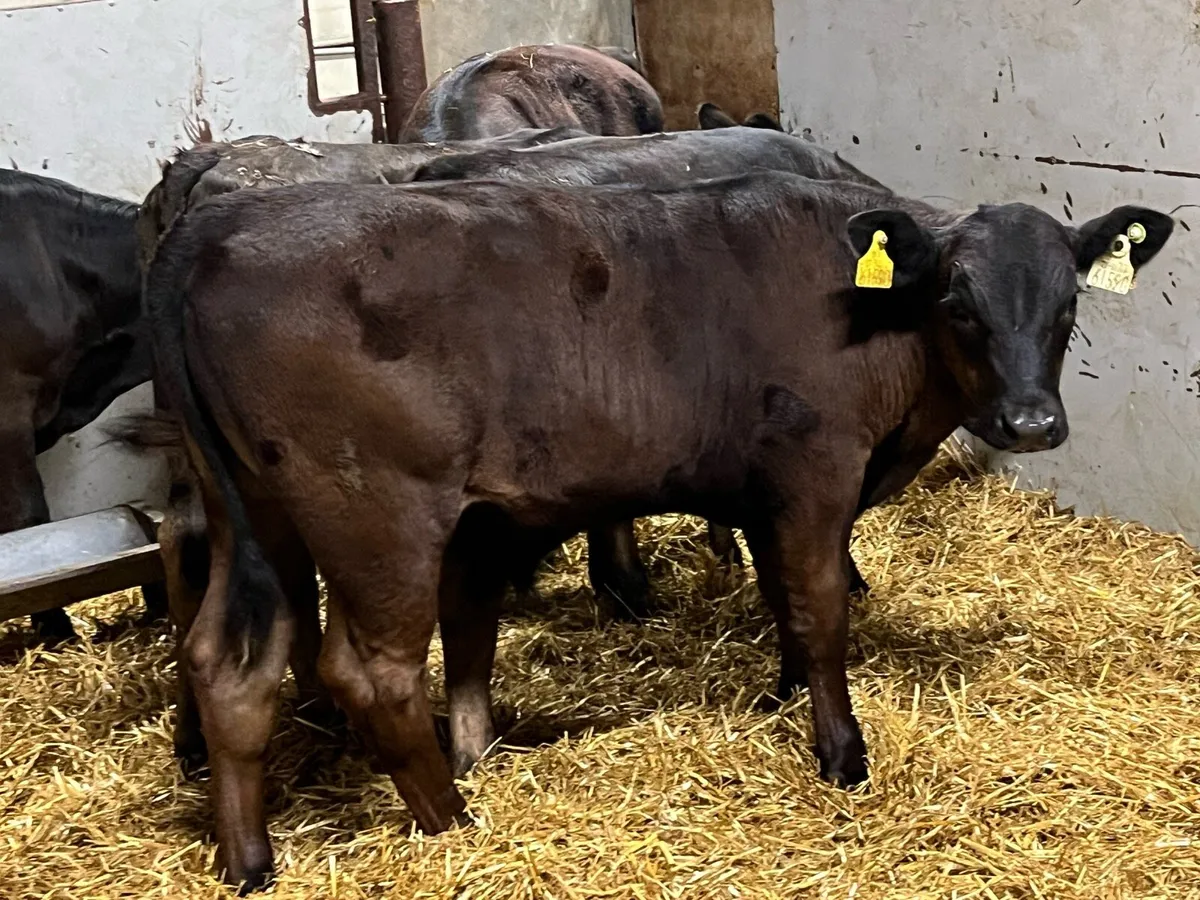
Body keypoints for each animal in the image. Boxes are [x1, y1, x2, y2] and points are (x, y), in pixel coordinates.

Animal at [140, 170, 1171, 888]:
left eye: (1069, 305)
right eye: (957, 304)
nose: (1031, 423)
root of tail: (218, 229)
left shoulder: (765, 493)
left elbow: (781, 598)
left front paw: (781, 696)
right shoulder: (815, 472)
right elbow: (822, 606)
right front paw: (840, 752)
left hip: (255, 510)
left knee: (229, 664)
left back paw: (250, 861)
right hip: (378, 510)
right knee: (369, 671)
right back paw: (453, 821)